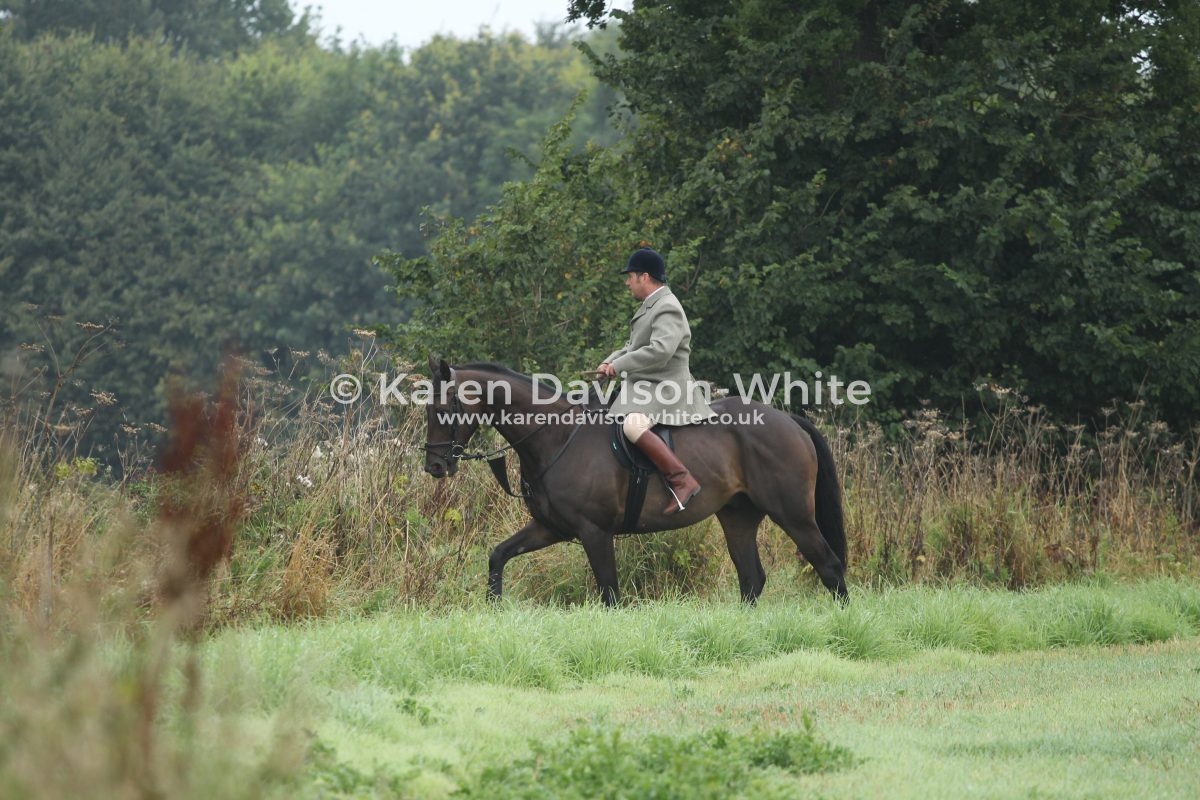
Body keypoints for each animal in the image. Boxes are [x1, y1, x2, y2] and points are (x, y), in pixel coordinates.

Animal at [421, 358, 848, 606]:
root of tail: (788, 420)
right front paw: (493, 608)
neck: (557, 436)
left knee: (828, 566)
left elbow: (610, 594)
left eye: (443, 408)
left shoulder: (594, 532)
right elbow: (498, 556)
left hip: (793, 515)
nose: (435, 466)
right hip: (738, 517)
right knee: (751, 579)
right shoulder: (550, 527)